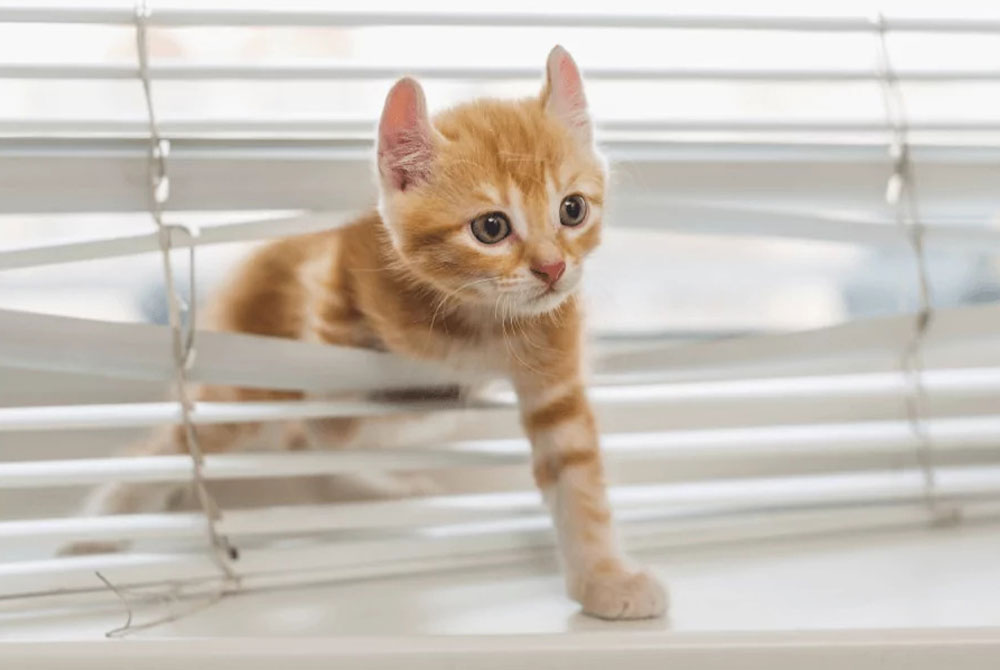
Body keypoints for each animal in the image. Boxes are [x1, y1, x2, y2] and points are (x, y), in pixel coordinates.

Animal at [66, 47, 668, 624]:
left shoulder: (554, 367)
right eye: (491, 227)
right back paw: (94, 532)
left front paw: (603, 578)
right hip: (249, 384)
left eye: (572, 210)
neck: (478, 318)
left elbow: (577, 476)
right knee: (192, 441)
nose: (552, 269)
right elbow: (333, 420)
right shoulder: (335, 291)